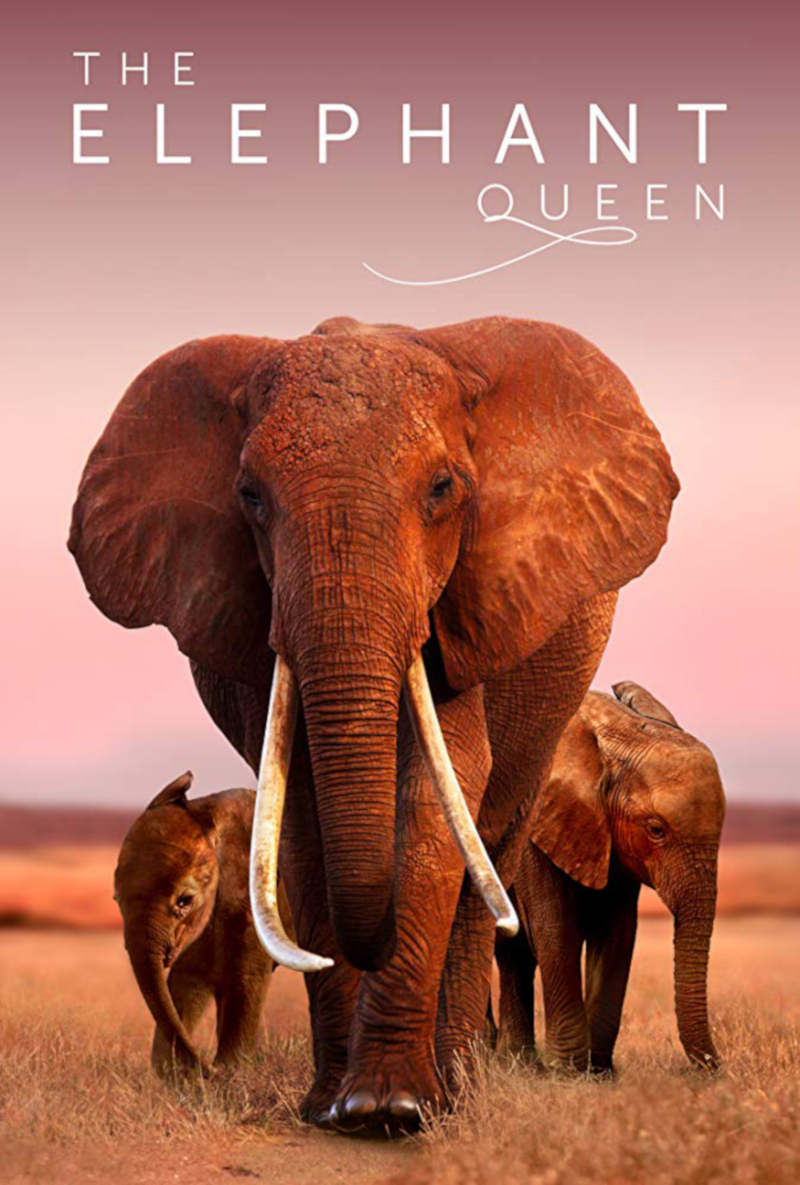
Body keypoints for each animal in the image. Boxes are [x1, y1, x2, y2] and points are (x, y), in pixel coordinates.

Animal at [114, 772, 290, 1076]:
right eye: (116, 899)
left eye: (185, 901)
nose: (207, 1066)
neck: (207, 813)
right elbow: (188, 979)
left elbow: (246, 979)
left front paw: (230, 1070)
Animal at [495, 682, 725, 1074]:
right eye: (656, 830)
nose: (717, 1067)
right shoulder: (534, 825)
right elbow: (555, 928)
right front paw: (568, 1073)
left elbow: (618, 932)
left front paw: (599, 1073)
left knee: (512, 954)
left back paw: (515, 1064)